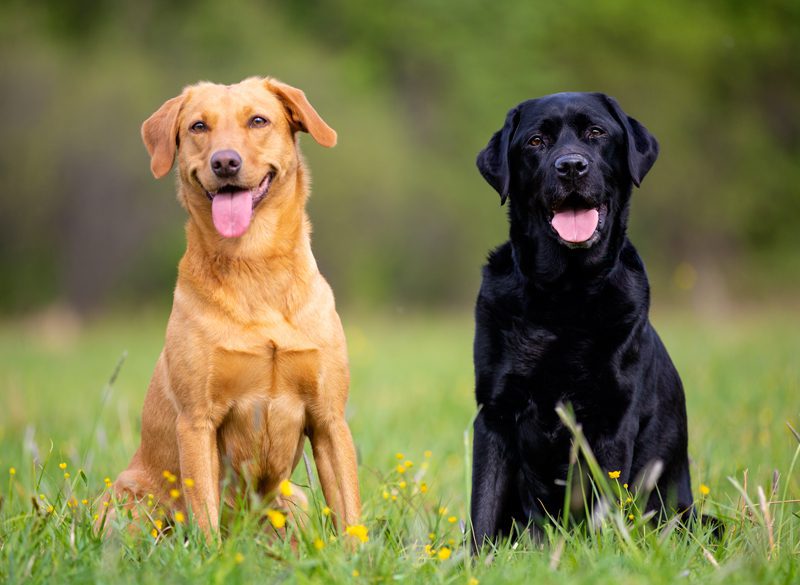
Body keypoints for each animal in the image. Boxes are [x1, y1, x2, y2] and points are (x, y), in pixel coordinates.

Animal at [104, 76, 360, 532]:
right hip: (130, 500)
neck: (254, 265)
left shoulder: (329, 418)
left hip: (293, 501)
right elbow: (205, 516)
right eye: (198, 126)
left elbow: (350, 516)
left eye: (258, 120)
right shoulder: (197, 420)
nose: (225, 162)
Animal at [472, 91, 692, 548]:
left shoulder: (612, 421)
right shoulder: (494, 416)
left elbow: (602, 506)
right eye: (536, 141)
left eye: (596, 132)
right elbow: (481, 510)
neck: (563, 297)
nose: (571, 165)